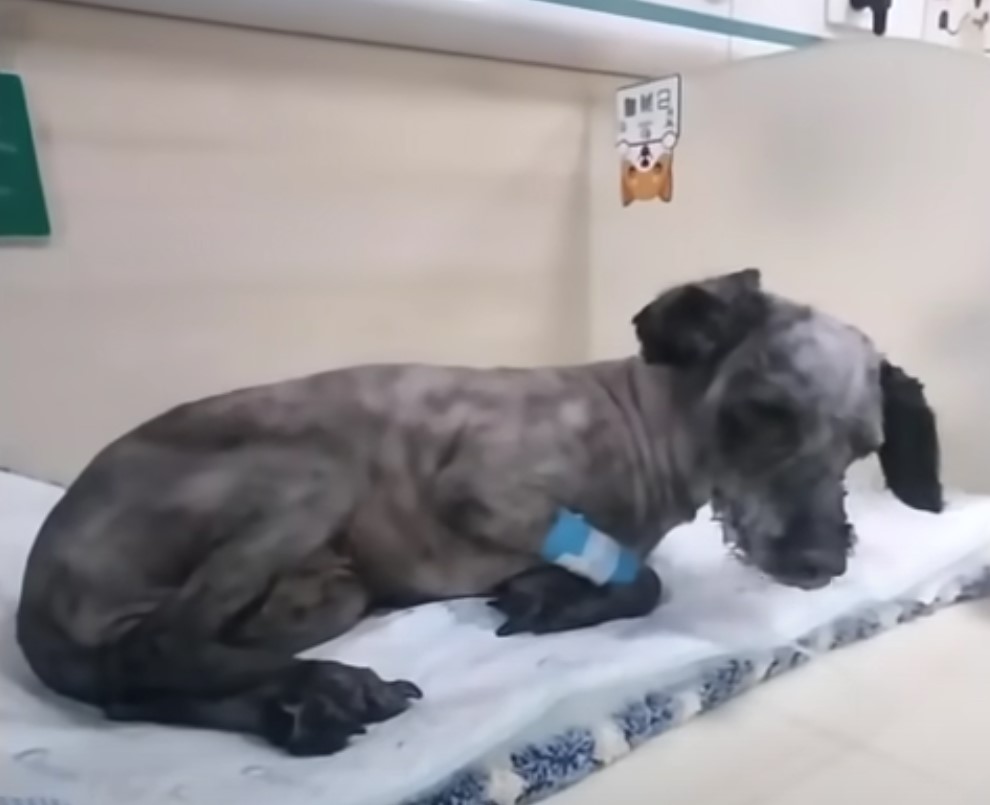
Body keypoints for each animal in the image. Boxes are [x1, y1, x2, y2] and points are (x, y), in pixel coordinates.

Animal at [15, 270, 944, 752]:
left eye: (863, 447)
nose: (821, 562)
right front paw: (555, 595)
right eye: (762, 412)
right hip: (313, 477)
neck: (632, 422)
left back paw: (297, 706)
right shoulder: (485, 489)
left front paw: (552, 593)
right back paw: (324, 686)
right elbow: (643, 579)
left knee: (132, 684)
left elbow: (637, 577)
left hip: (331, 590)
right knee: (154, 648)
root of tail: (31, 601)